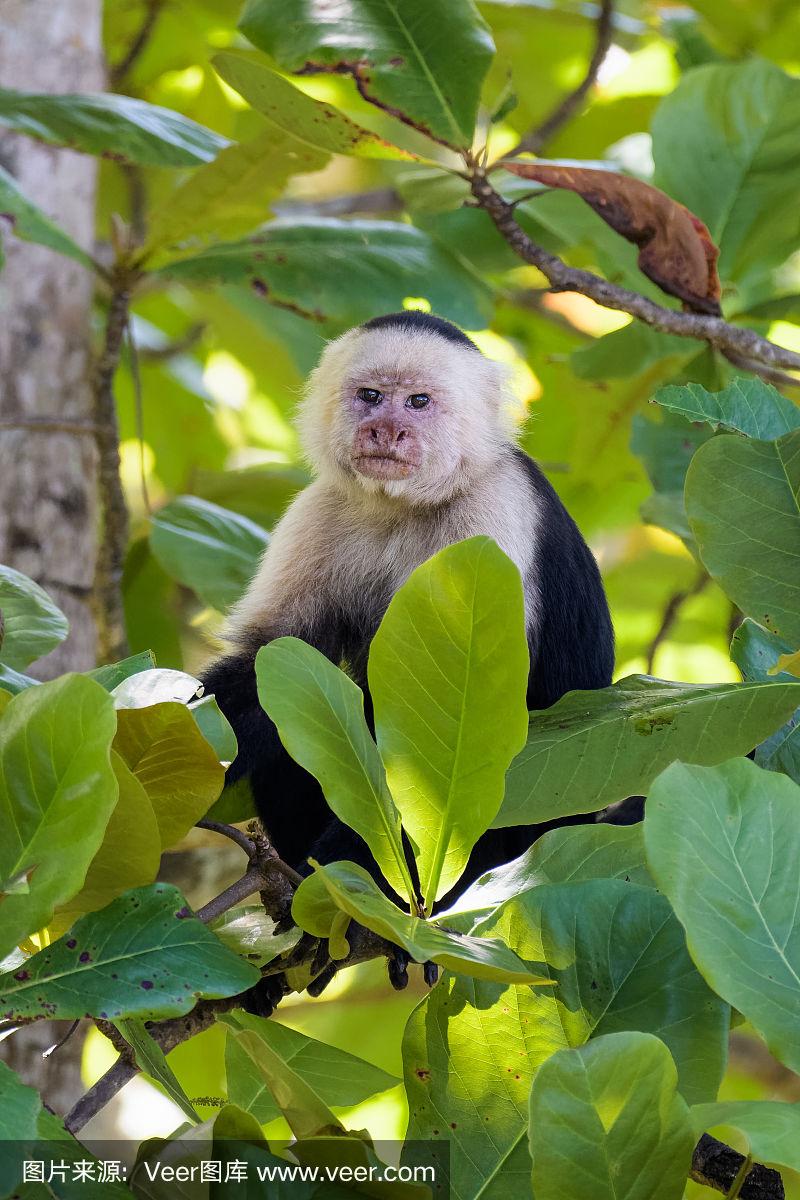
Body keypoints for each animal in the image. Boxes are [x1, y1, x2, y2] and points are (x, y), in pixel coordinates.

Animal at [203, 309, 618, 993]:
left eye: (419, 402)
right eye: (371, 396)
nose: (387, 429)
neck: (406, 505)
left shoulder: (493, 514)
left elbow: (479, 733)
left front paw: (352, 884)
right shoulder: (322, 508)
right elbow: (273, 659)